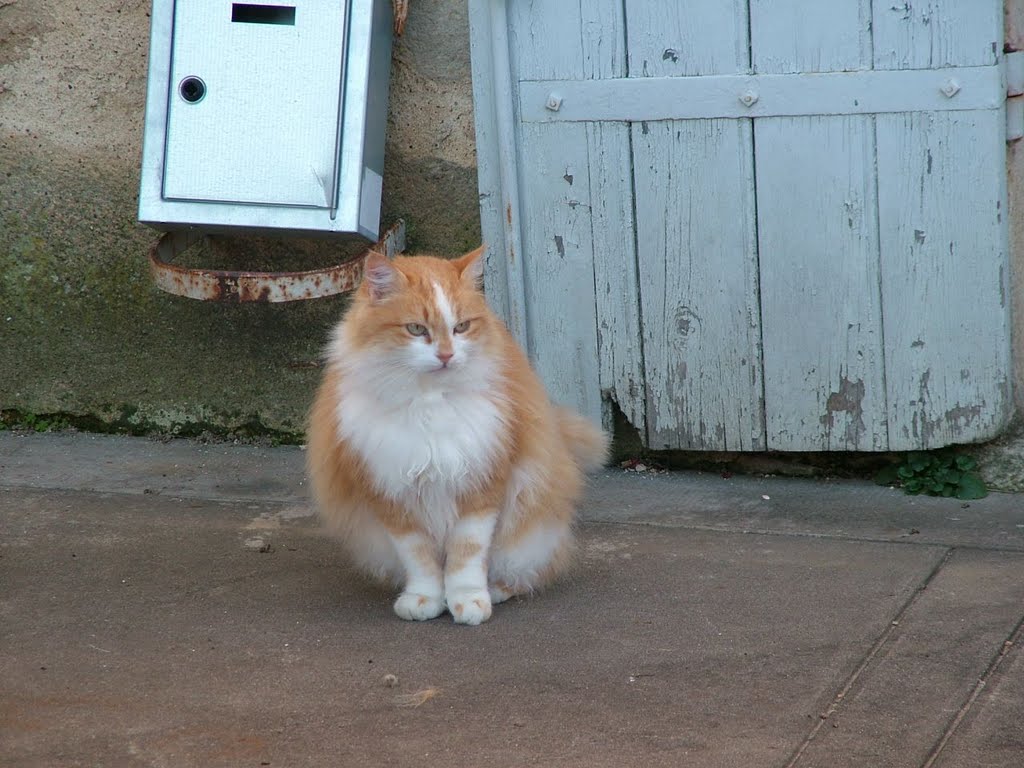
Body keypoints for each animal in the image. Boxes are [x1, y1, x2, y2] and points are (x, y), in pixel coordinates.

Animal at [305, 246, 606, 626]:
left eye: (461, 327)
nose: (447, 355)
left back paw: (496, 590)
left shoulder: (480, 488)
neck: (429, 403)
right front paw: (425, 600)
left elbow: (466, 558)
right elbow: (421, 562)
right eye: (416, 329)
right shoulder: (391, 496)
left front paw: (469, 602)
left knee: (527, 573)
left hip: (529, 530)